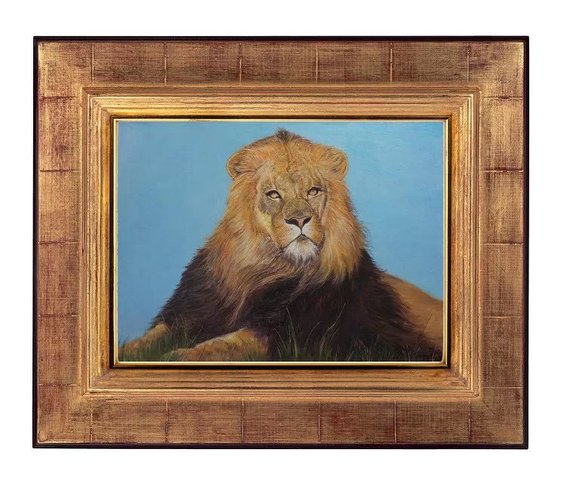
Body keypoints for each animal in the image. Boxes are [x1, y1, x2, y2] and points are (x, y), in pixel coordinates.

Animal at [121, 129, 443, 362]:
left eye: (313, 191)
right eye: (273, 194)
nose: (299, 220)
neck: (263, 269)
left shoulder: (292, 336)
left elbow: (224, 346)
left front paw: (178, 355)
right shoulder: (191, 312)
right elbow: (151, 337)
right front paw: (130, 351)